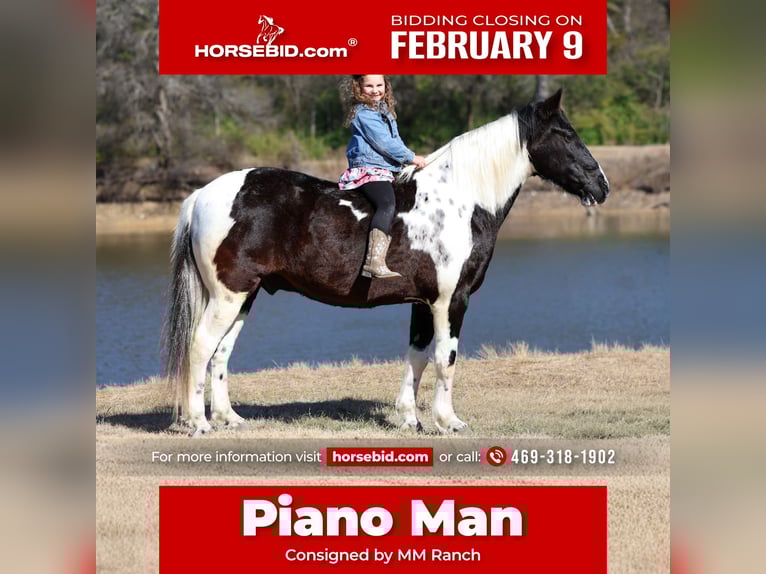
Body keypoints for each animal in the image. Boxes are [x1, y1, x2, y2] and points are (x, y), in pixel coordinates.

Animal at [161, 89, 609, 436]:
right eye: (566, 135)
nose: (601, 185)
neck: (460, 200)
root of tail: (201, 195)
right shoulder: (451, 301)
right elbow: (446, 359)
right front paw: (448, 421)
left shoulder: (422, 303)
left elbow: (417, 356)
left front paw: (411, 419)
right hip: (228, 295)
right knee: (200, 347)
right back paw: (198, 423)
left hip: (246, 295)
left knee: (220, 353)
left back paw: (229, 419)